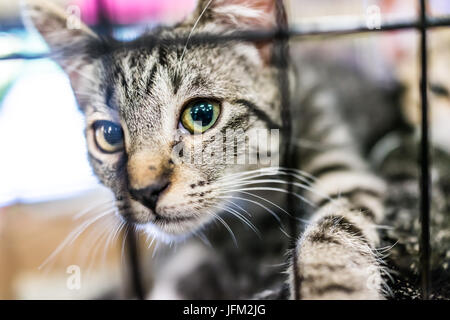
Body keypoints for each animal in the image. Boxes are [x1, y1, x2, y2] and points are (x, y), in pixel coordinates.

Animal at [25, 0, 386, 300]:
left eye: (201, 114)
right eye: (110, 134)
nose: (146, 191)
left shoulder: (331, 147)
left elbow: (338, 223)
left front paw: (329, 287)